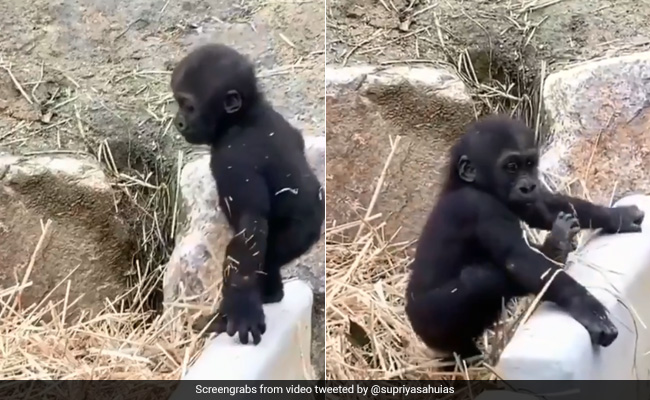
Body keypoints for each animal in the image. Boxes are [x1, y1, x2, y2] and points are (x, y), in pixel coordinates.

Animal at [171, 43, 324, 345]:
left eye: (189, 106)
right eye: (179, 103)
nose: (179, 122)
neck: (246, 115)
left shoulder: (232, 158)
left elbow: (249, 226)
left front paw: (242, 308)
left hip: (294, 235)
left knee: (261, 254)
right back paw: (271, 293)